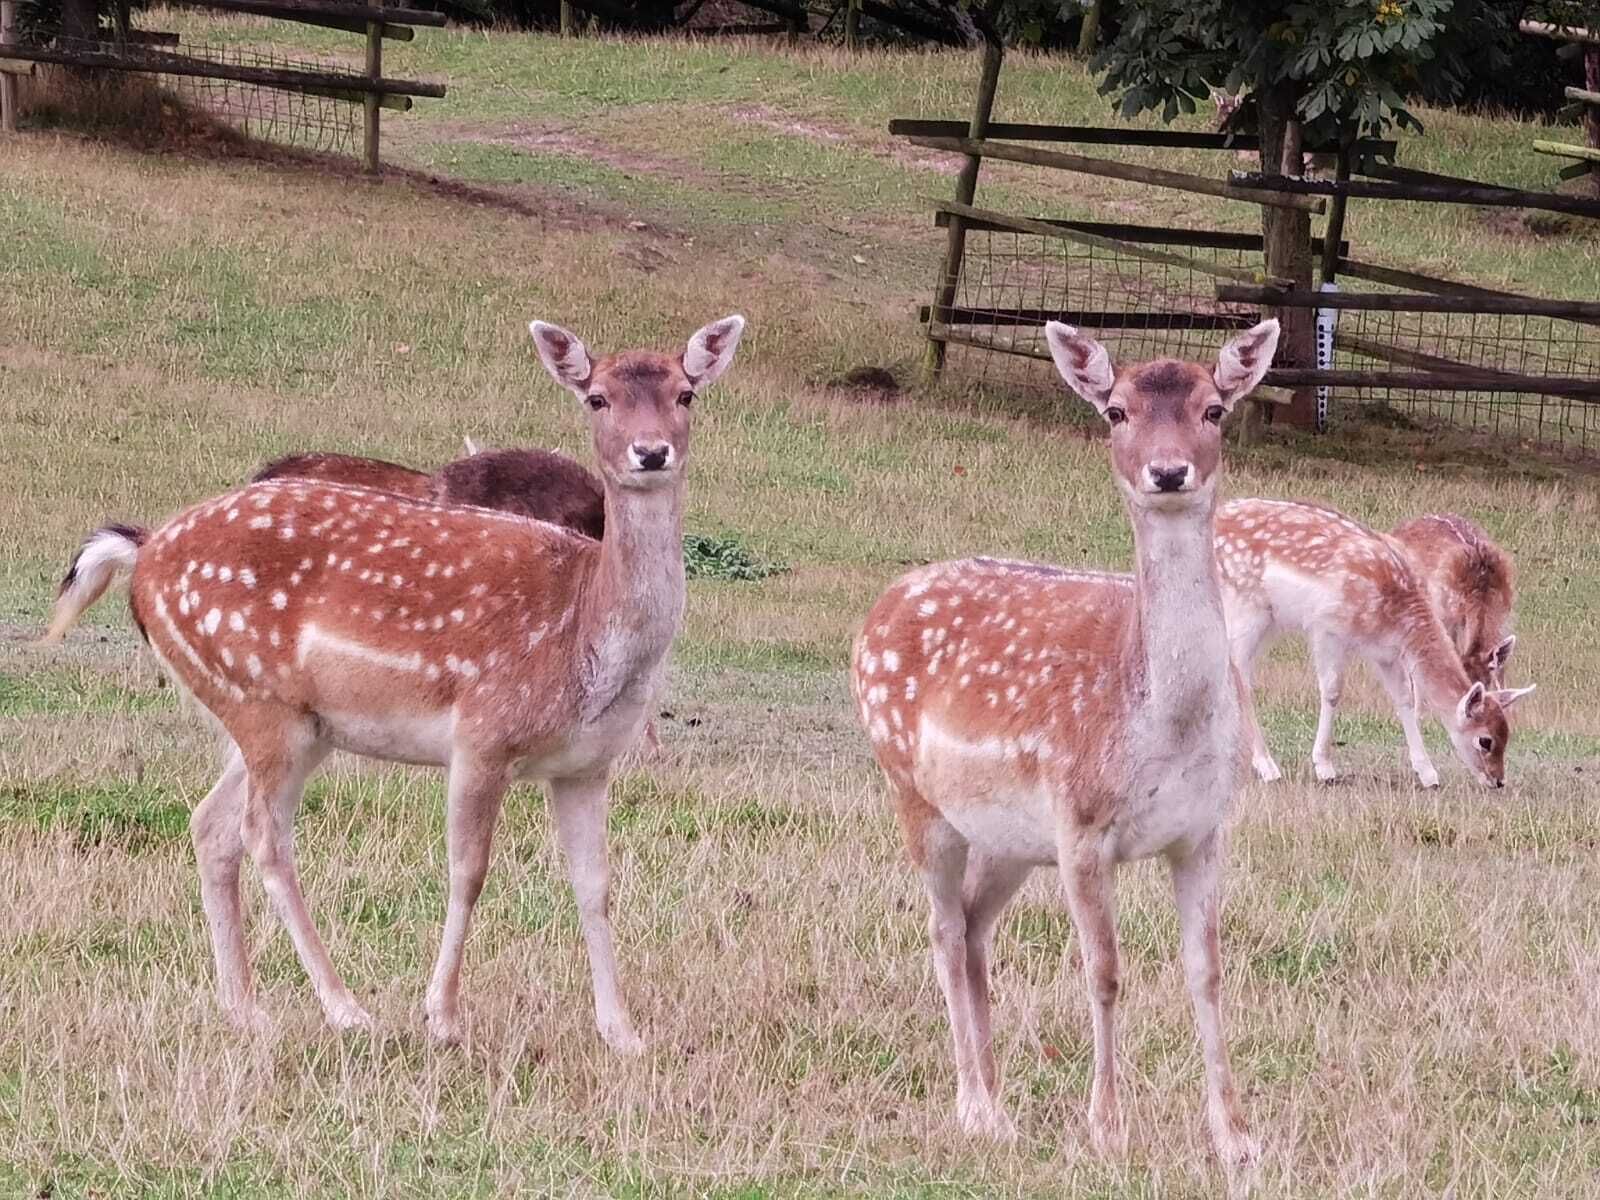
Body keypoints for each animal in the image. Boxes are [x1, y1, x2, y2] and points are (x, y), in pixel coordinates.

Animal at [39, 315, 744, 1047]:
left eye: (687, 393)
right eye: (597, 397)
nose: (651, 452)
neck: (586, 631)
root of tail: (142, 553)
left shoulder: (587, 765)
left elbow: (595, 884)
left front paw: (622, 1033)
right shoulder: (483, 733)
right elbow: (468, 872)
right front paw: (444, 1017)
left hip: (290, 721)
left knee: (210, 824)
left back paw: (246, 1009)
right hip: (259, 703)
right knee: (264, 837)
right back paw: (345, 1008)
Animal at [850, 320, 1282, 1167]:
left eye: (1214, 409)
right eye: (1116, 411)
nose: (1168, 470)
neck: (1162, 723)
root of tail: (878, 608)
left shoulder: (1205, 829)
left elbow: (1207, 971)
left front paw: (1236, 1137)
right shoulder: (1082, 824)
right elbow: (1104, 972)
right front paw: (1107, 1127)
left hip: (1010, 838)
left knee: (975, 927)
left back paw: (998, 1101)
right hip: (910, 789)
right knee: (943, 930)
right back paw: (976, 1108)